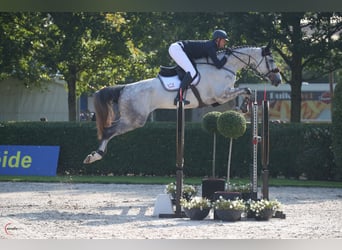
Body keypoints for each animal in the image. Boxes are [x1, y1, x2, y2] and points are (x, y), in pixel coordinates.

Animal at [83, 44, 280, 164]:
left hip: (130, 118)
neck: (224, 66)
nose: (278, 80)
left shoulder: (220, 97)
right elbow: (246, 89)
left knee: (109, 129)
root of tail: (124, 88)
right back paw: (94, 156)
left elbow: (245, 91)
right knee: (109, 131)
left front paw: (243, 108)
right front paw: (243, 107)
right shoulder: (220, 95)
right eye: (271, 60)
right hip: (134, 119)